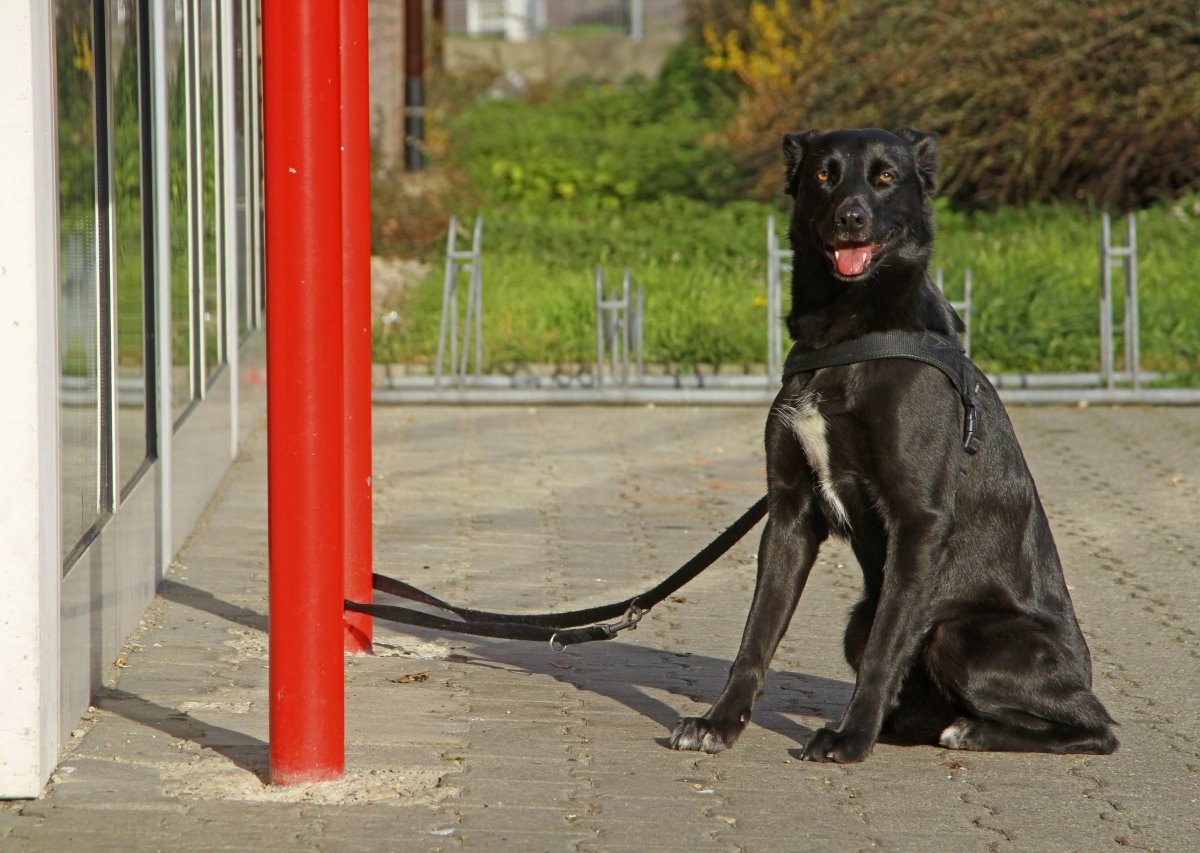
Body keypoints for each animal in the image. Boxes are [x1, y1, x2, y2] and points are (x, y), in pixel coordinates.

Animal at [672, 130, 1118, 763]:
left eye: (884, 178)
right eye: (824, 176)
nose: (850, 218)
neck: (849, 337)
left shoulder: (917, 521)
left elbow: (886, 650)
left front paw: (850, 737)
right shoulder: (789, 514)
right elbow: (755, 635)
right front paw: (720, 722)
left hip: (960, 634)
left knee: (1095, 727)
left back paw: (968, 730)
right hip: (858, 619)